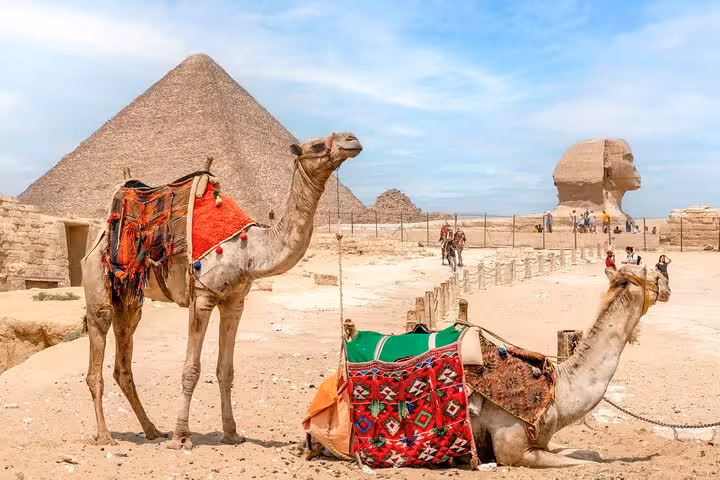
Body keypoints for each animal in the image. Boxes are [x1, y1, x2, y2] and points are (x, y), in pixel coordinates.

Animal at [81, 132, 362, 449]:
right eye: (315, 145)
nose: (352, 140)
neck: (248, 250)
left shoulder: (234, 301)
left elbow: (225, 370)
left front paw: (232, 433)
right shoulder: (202, 297)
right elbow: (191, 370)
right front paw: (181, 437)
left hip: (129, 300)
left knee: (123, 361)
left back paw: (152, 430)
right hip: (98, 285)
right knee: (96, 355)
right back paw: (105, 435)